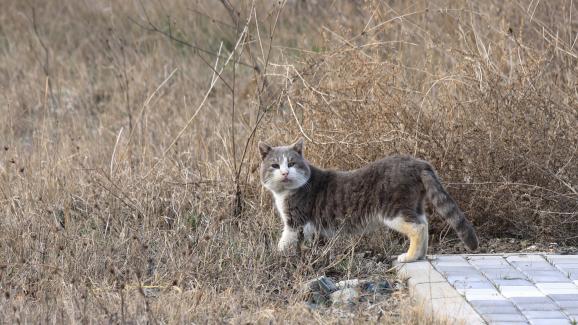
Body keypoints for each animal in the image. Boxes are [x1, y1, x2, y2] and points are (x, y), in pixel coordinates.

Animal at [258, 138, 476, 262]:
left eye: (292, 163)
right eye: (275, 165)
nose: (285, 173)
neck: (285, 192)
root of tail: (418, 162)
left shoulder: (295, 223)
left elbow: (284, 243)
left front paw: (275, 257)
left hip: (394, 211)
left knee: (418, 228)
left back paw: (409, 257)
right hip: (414, 206)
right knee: (425, 224)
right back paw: (420, 255)